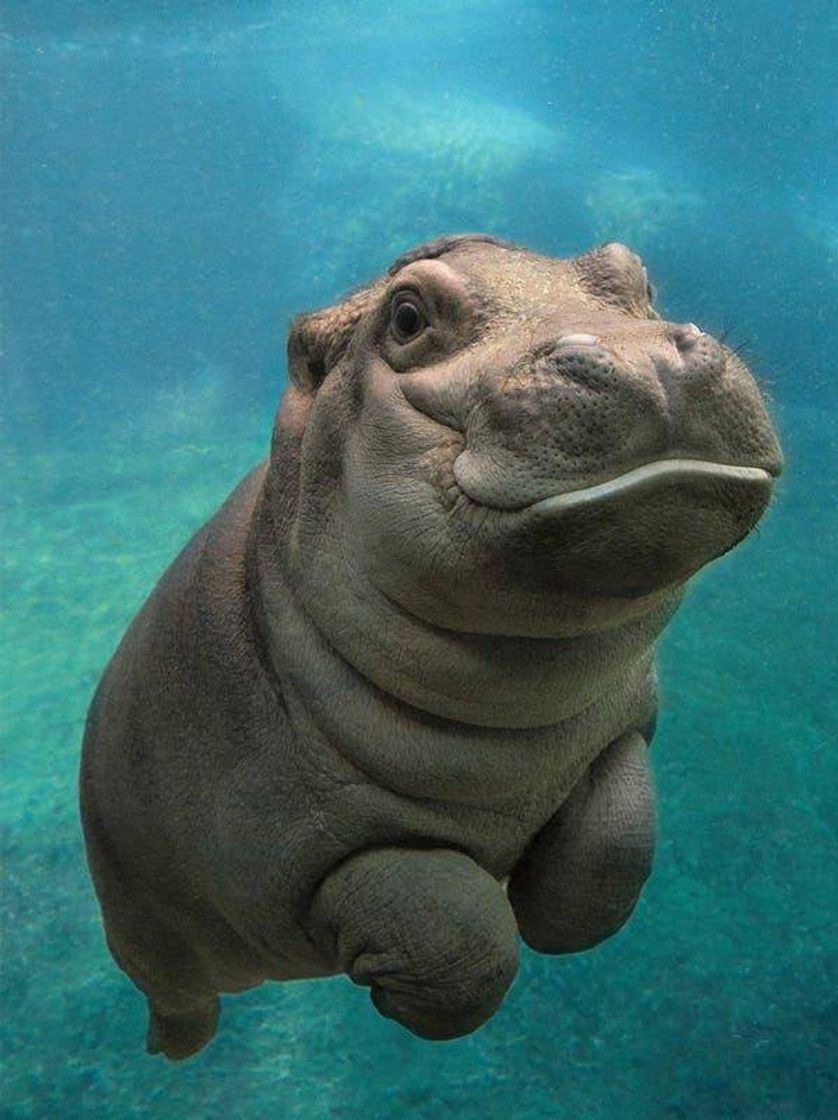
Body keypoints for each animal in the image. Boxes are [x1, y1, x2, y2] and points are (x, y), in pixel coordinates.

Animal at [80, 234, 783, 1060]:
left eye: (636, 276)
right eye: (408, 317)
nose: (646, 357)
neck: (516, 706)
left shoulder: (620, 730)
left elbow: (614, 850)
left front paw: (551, 914)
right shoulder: (295, 850)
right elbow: (460, 940)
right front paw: (403, 988)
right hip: (146, 932)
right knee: (178, 995)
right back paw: (172, 1048)